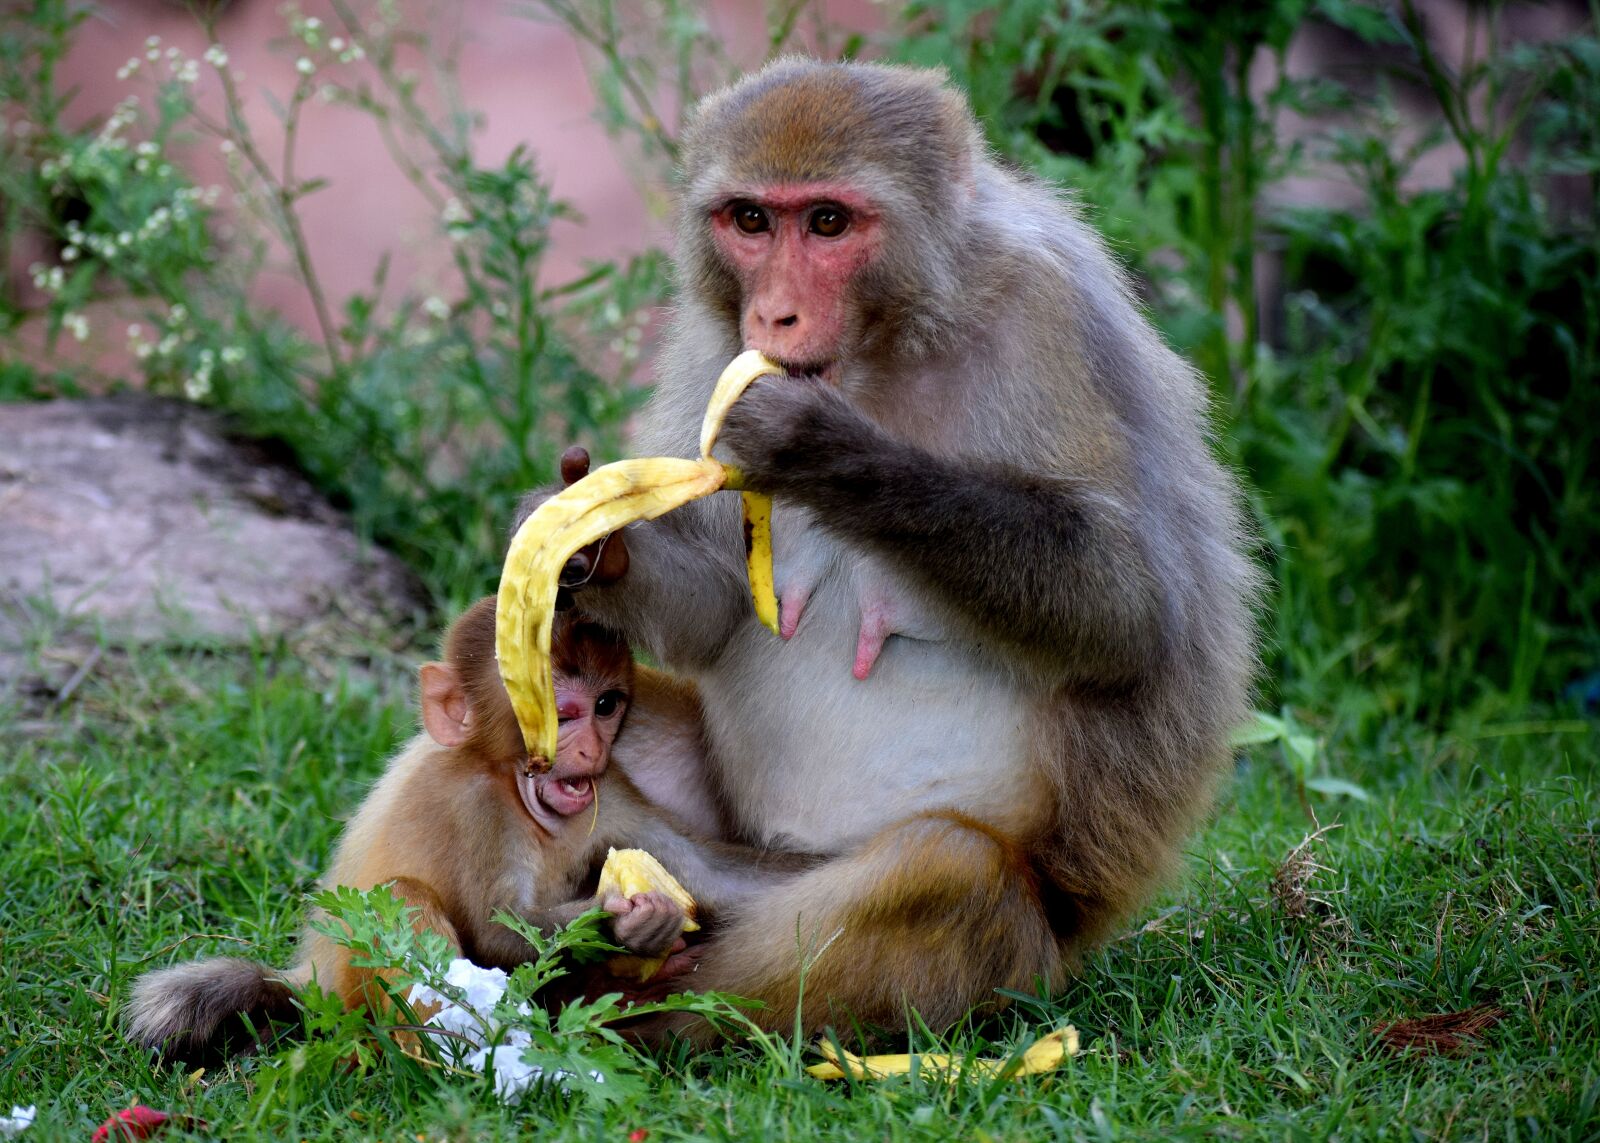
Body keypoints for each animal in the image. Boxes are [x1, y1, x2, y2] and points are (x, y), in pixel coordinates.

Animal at [124, 598, 802, 1061]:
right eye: (561, 714)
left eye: (606, 705)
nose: (587, 750)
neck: (518, 795)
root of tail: (311, 980)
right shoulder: (479, 811)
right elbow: (496, 931)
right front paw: (626, 923)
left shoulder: (609, 795)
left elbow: (710, 872)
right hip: (355, 985)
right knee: (403, 897)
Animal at [522, 58, 1259, 1042]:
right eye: (751, 220)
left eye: (829, 223)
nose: (775, 315)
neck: (889, 343)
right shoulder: (715, 335)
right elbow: (715, 603)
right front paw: (592, 549)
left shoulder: (1049, 313)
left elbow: (1129, 607)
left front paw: (822, 449)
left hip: (1007, 950)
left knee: (943, 870)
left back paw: (631, 1000)